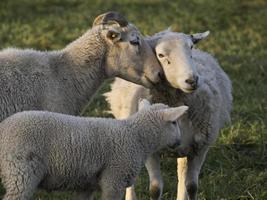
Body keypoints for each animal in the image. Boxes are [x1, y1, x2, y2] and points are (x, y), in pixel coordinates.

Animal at [0, 99, 188, 200]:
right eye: (174, 122)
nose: (179, 142)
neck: (136, 137)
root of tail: (3, 129)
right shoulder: (114, 178)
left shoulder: (86, 184)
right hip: (20, 172)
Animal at [103, 29, 233, 200]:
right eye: (161, 55)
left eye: (191, 47)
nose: (192, 80)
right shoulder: (151, 151)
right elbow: (155, 188)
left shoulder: (200, 147)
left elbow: (192, 186)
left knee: (182, 173)